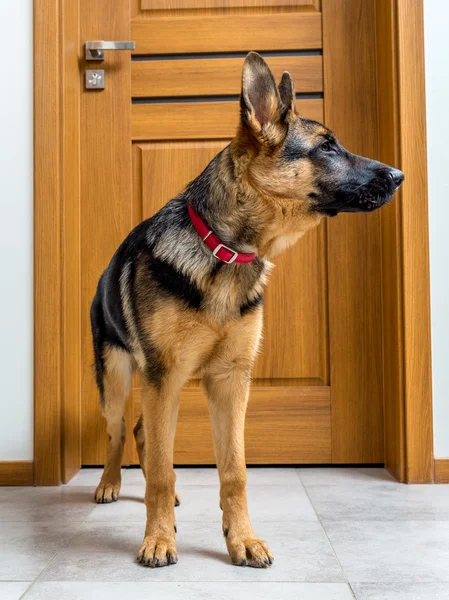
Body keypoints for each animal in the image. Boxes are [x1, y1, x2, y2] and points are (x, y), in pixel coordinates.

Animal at [90, 50, 402, 568]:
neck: (224, 248)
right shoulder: (165, 378)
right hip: (118, 381)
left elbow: (232, 472)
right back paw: (109, 484)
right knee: (119, 432)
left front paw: (241, 539)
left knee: (142, 433)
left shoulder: (230, 382)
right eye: (327, 147)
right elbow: (160, 470)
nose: (400, 176)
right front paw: (158, 539)